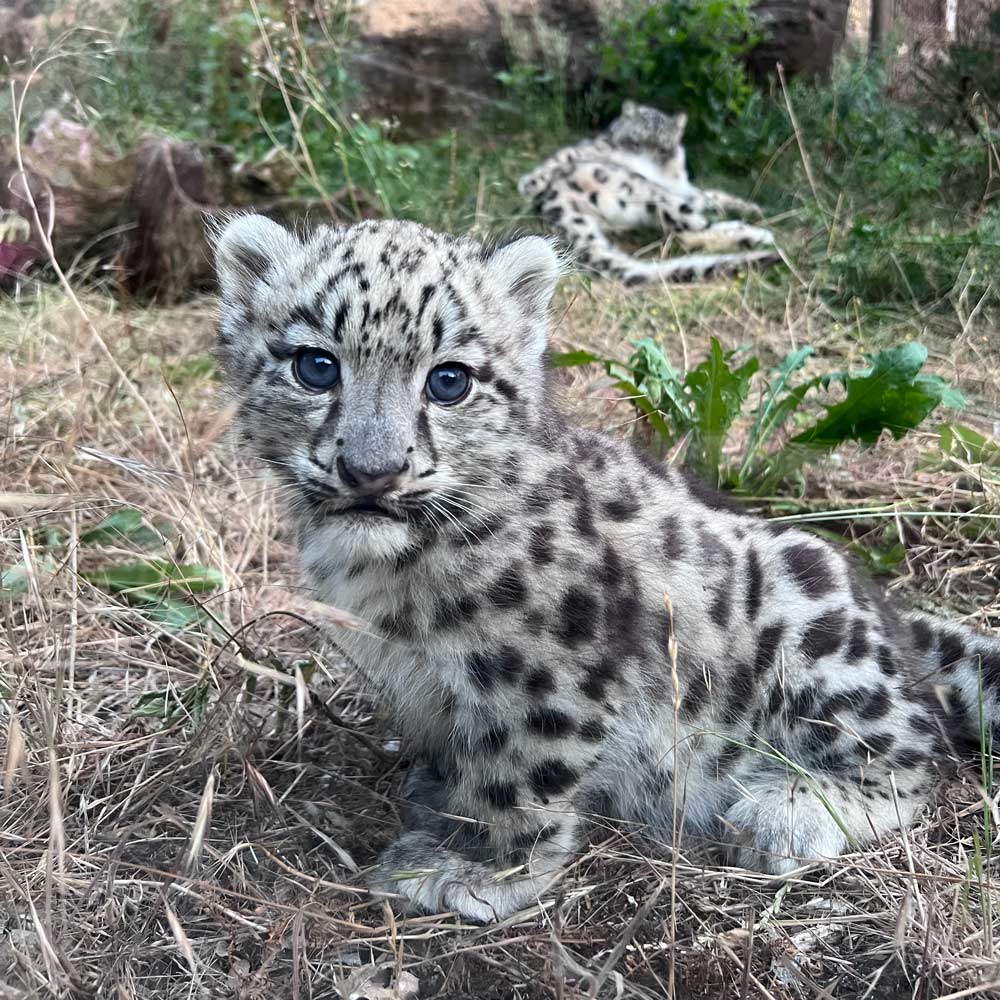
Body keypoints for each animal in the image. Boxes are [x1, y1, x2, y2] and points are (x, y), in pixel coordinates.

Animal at [213, 212, 1000, 924]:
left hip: (811, 622)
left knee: (914, 750)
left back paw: (787, 810)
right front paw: (437, 800)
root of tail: (895, 620)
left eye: (449, 380)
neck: (388, 579)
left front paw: (479, 870)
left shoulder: (550, 671)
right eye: (316, 365)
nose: (371, 471)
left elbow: (519, 773)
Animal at [518, 101, 780, 285]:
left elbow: (713, 195)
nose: (648, 160)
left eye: (663, 148)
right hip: (642, 189)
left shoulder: (686, 187)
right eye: (635, 142)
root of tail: (555, 203)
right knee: (688, 230)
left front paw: (752, 206)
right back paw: (756, 234)